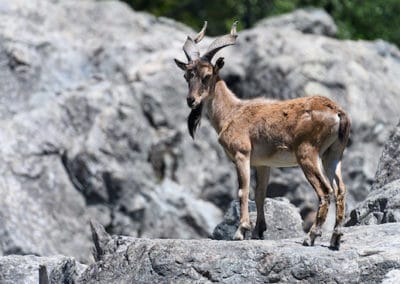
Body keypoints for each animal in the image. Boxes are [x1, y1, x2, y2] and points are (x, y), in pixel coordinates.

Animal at [174, 21, 350, 248]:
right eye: (187, 75)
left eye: (207, 75)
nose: (191, 100)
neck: (231, 112)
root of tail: (337, 112)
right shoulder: (263, 164)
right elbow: (259, 194)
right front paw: (259, 232)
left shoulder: (242, 154)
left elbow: (243, 191)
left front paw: (241, 231)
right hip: (333, 154)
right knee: (340, 189)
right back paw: (335, 238)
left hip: (307, 153)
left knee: (325, 190)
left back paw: (310, 236)